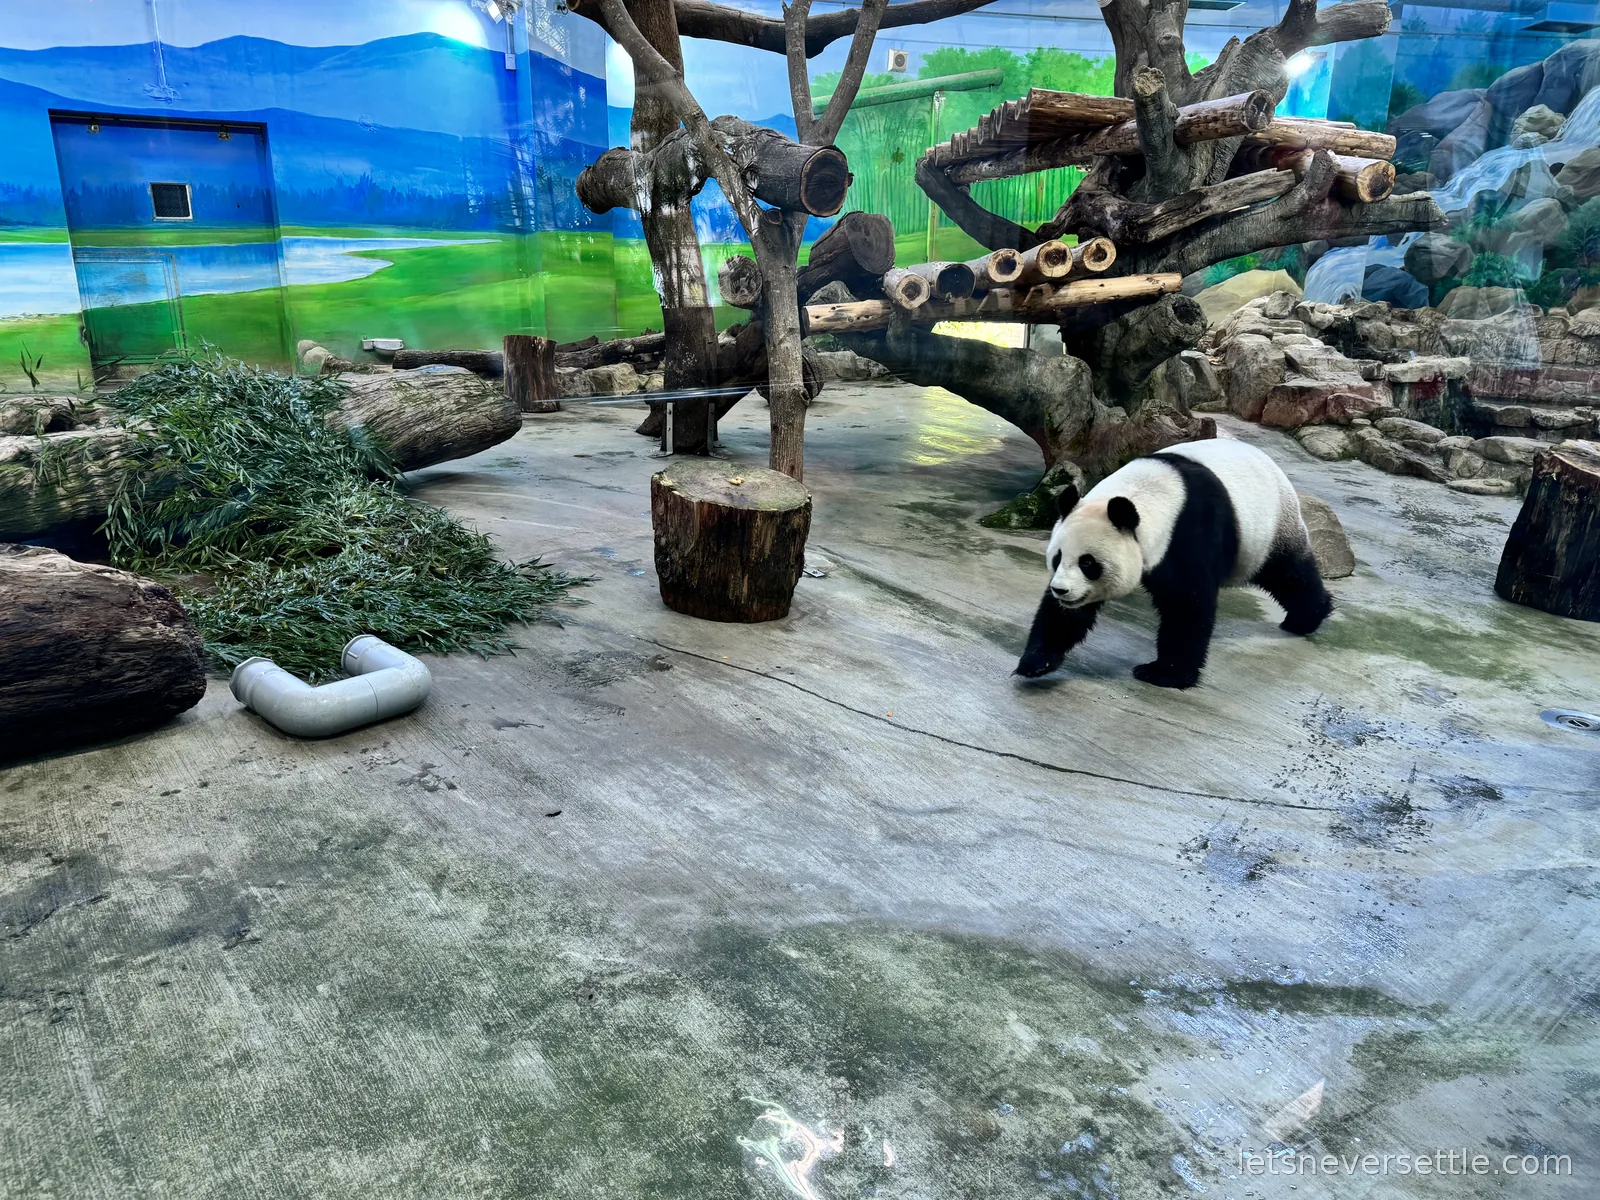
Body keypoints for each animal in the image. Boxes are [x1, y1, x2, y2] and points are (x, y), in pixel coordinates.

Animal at [1014, 438, 1333, 689]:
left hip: (1267, 530)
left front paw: (1164, 673)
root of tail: (1273, 465)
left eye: (1088, 563)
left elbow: (1188, 604)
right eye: (1057, 558)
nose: (1061, 591)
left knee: (1288, 573)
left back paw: (1306, 618)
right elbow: (1067, 617)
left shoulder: (1189, 531)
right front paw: (1036, 661)